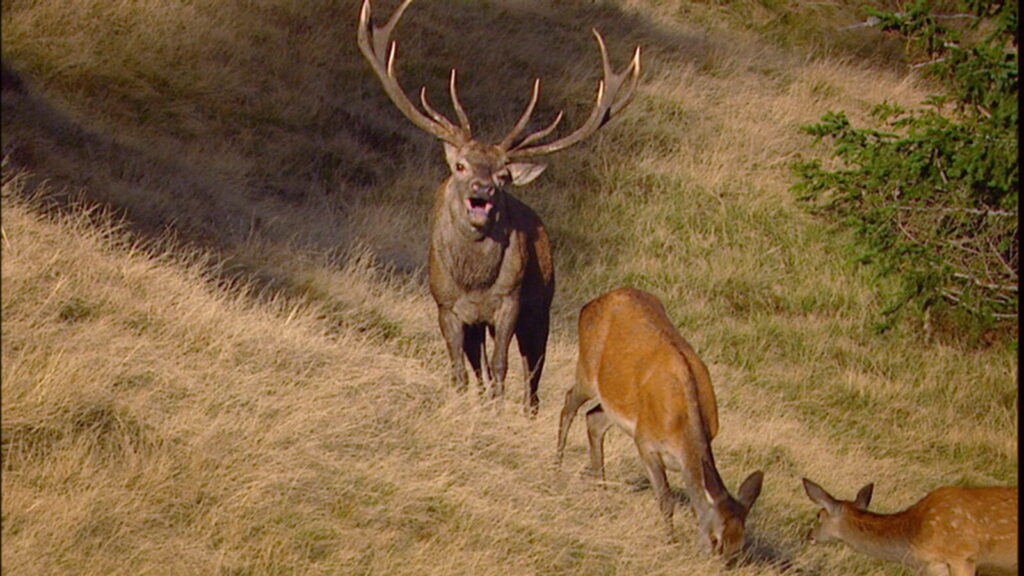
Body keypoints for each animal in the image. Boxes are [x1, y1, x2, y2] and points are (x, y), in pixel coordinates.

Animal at [357, 0, 641, 415]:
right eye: (461, 165)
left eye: (503, 174)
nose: (484, 187)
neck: (475, 281)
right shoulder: (445, 304)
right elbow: (460, 365)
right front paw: (463, 398)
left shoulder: (510, 301)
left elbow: (503, 363)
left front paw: (497, 406)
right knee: (479, 363)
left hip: (540, 306)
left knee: (532, 368)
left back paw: (527, 410)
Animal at [556, 287, 764, 562]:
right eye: (715, 539)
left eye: (741, 545)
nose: (721, 564)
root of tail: (591, 304)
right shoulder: (645, 442)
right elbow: (665, 499)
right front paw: (670, 542)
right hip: (587, 369)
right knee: (569, 403)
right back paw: (557, 466)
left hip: (615, 403)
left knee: (593, 419)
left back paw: (601, 491)